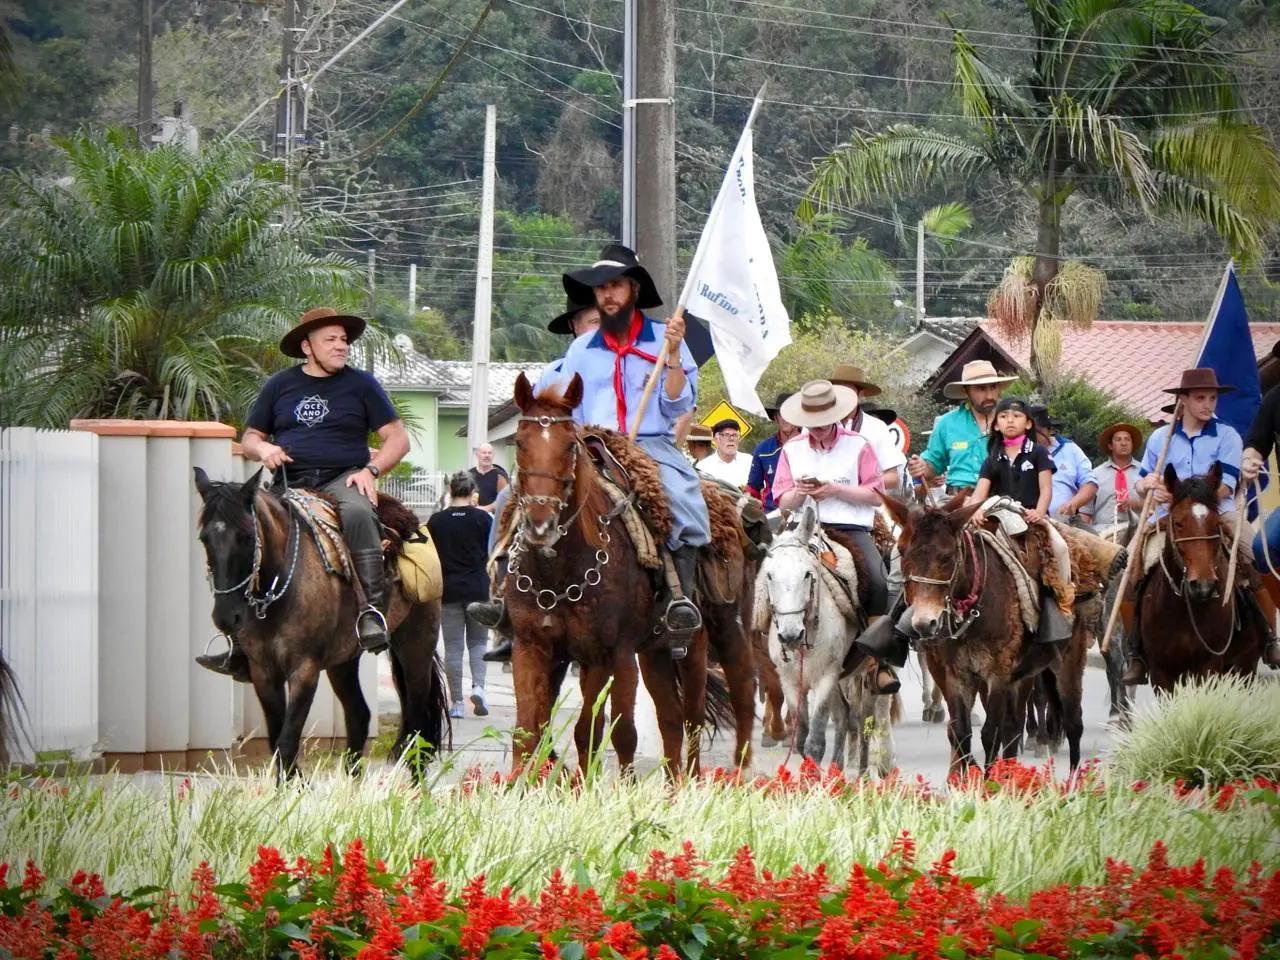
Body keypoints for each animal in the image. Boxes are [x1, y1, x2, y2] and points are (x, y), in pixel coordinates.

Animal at [189, 471, 450, 778]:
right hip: (343, 661)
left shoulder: (305, 670)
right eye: (205, 538)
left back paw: (415, 785)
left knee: (418, 721)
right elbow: (277, 740)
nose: (226, 617)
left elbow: (287, 741)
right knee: (359, 715)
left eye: (246, 536)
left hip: (416, 647)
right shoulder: (263, 672)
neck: (279, 587)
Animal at [499, 376, 757, 783]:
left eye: (570, 445)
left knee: (718, 703)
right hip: (657, 652)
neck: (558, 574)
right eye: (521, 443)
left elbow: (614, 732)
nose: (541, 523)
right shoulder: (532, 646)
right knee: (671, 718)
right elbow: (530, 730)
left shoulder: (612, 654)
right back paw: (674, 787)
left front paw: (621, 788)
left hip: (716, 633)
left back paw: (730, 774)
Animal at [890, 496, 1090, 773]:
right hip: (1023, 676)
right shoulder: (958, 675)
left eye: (947, 557)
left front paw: (987, 781)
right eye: (902, 552)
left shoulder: (997, 674)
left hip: (1068, 664)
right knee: (1014, 727)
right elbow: (961, 733)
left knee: (1073, 724)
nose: (925, 623)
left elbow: (990, 734)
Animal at [1136, 463, 1264, 696]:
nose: (1203, 586)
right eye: (1178, 523)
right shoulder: (1160, 672)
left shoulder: (1209, 666)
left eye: (1216, 523)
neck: (1182, 611)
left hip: (1244, 668)